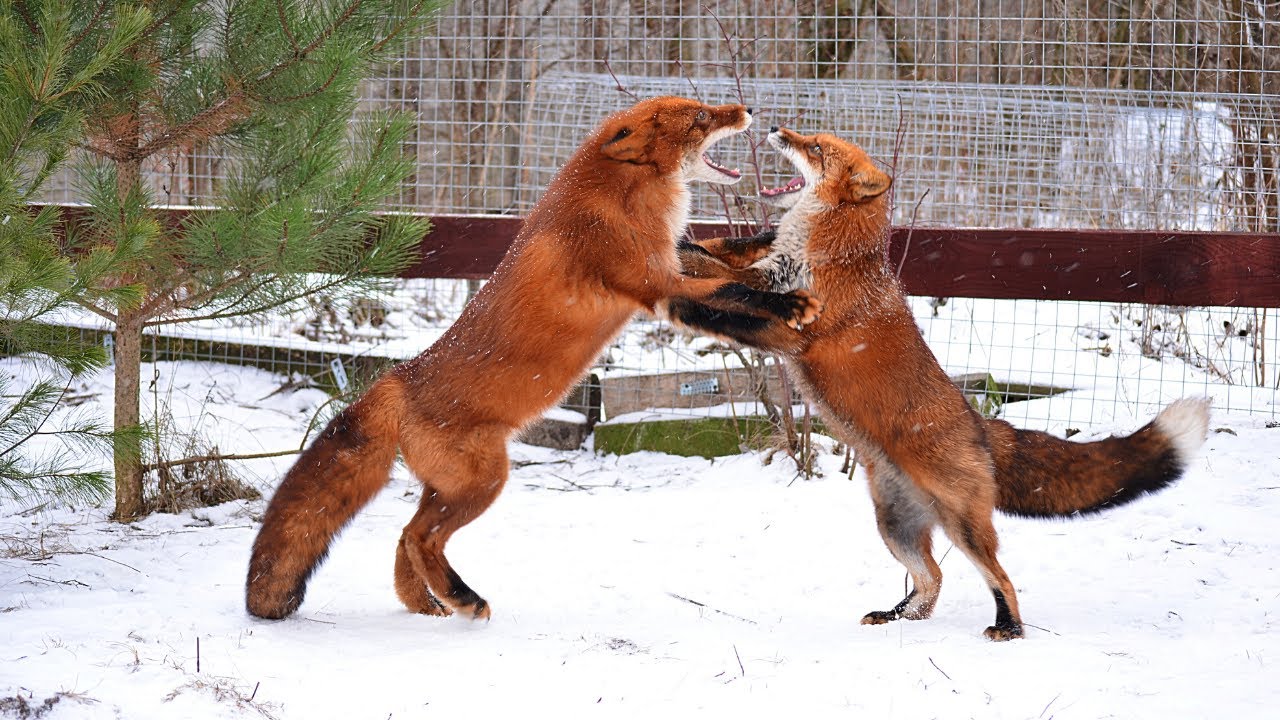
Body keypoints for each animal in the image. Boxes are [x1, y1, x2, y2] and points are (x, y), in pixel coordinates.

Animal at [245, 98, 824, 621]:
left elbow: (724, 251)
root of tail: (396, 379)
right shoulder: (658, 285)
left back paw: (426, 603)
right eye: (702, 116)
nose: (748, 110)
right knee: (419, 538)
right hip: (484, 482)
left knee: (403, 539)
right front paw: (788, 308)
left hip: (447, 486)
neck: (625, 199)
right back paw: (464, 599)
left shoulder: (673, 258)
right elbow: (734, 294)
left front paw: (773, 238)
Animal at [667, 126, 1211, 640]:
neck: (830, 251)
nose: (778, 128)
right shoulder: (768, 277)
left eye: (816, 148)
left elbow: (723, 291)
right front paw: (684, 246)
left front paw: (682, 284)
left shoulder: (791, 326)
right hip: (895, 527)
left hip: (963, 526)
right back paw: (898, 617)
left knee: (1000, 578)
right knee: (932, 580)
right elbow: (720, 262)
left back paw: (1008, 629)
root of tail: (980, 424)